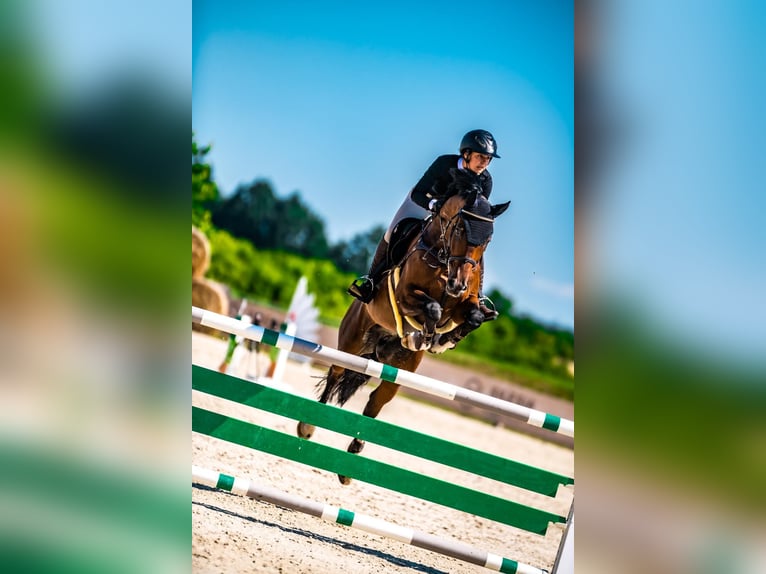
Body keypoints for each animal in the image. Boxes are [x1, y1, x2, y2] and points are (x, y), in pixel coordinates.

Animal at [297, 168, 510, 484]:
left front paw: (442, 339)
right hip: (351, 344)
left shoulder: (464, 303)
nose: (458, 284)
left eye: (488, 240)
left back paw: (352, 459)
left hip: (399, 371)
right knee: (336, 374)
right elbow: (431, 307)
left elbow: (472, 316)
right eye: (460, 229)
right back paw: (309, 426)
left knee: (376, 401)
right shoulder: (404, 295)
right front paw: (426, 335)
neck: (443, 259)